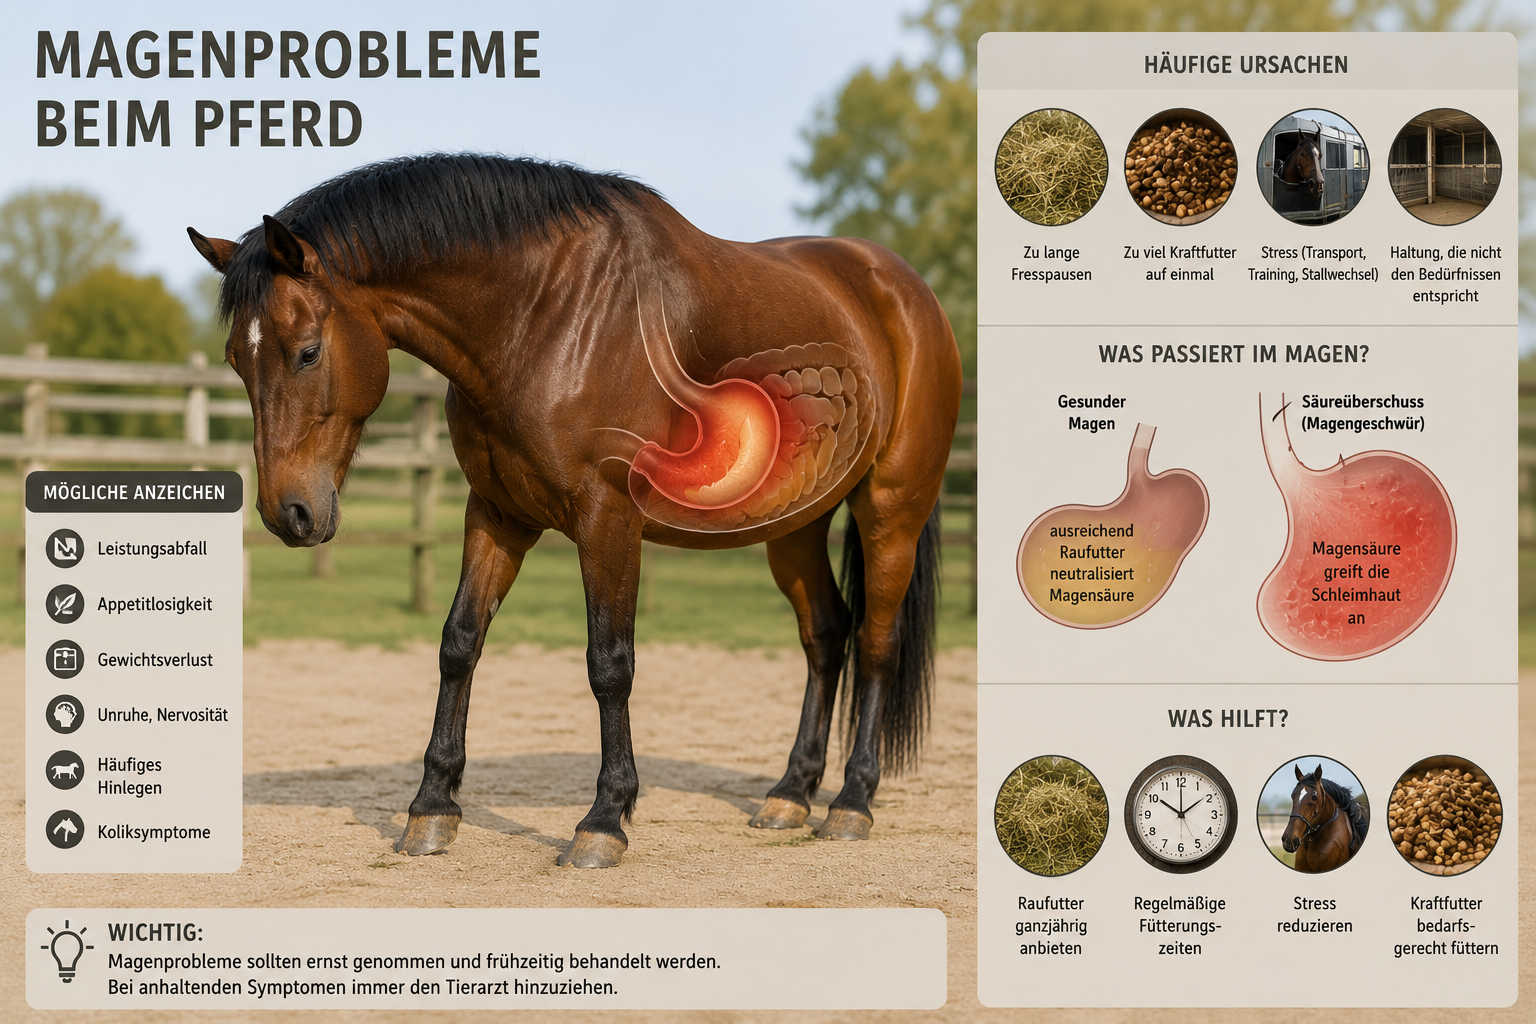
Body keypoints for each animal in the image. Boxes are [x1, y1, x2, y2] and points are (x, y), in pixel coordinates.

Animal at [187, 153, 961, 869]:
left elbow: (608, 664)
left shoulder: (607, 519)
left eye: (307, 352)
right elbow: (458, 644)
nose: (289, 513)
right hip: (793, 527)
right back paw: (791, 794)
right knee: (825, 636)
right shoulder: (496, 515)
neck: (547, 316)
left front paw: (604, 820)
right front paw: (432, 808)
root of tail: (900, 289)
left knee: (876, 643)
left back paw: (852, 801)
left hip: (891, 509)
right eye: (236, 360)